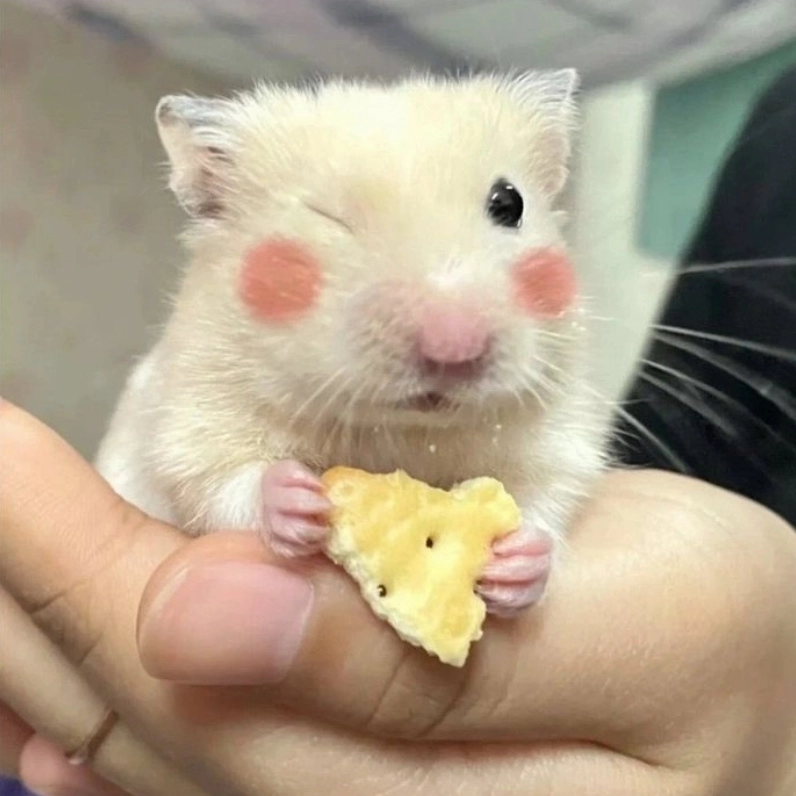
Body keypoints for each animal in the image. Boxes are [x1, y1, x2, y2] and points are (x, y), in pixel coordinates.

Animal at [95, 71, 610, 617]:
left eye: (509, 203)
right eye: (327, 216)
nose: (454, 346)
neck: (401, 432)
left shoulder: (559, 438)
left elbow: (546, 500)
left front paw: (519, 564)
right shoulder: (189, 425)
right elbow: (222, 482)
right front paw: (300, 499)